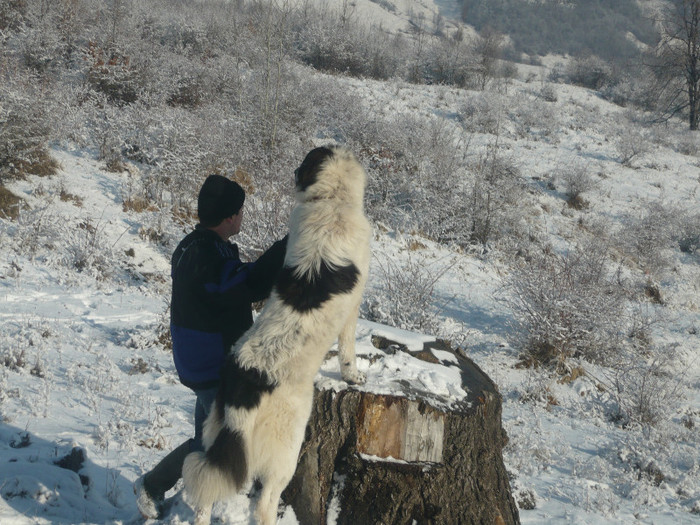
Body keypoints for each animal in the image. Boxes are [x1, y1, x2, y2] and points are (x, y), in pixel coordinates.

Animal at [183, 145, 374, 520]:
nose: (294, 172)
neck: (331, 200)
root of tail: (247, 384)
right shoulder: (353, 308)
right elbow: (348, 349)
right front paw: (353, 376)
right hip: (286, 450)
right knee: (264, 503)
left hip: (216, 434)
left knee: (205, 493)